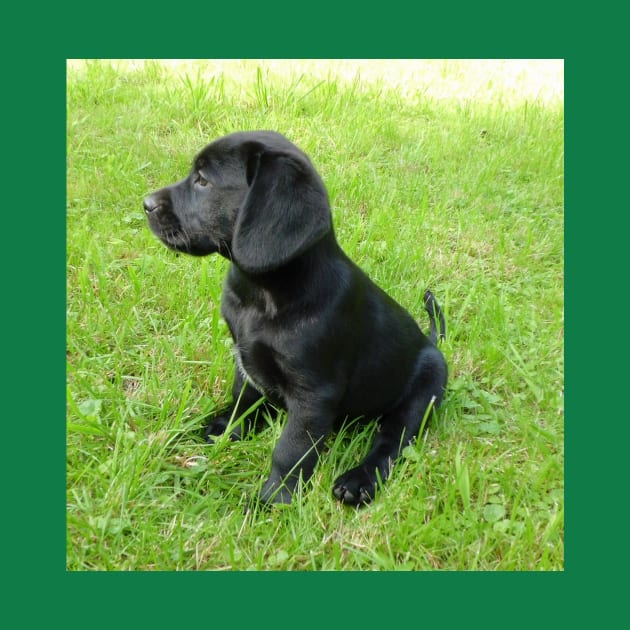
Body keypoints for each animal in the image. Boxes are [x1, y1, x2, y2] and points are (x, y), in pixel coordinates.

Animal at [144, 131, 450, 506]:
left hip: (423, 393)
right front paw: (227, 429)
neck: (262, 297)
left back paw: (359, 480)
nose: (146, 203)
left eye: (202, 180)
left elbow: (290, 451)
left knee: (391, 442)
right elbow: (243, 401)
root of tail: (430, 343)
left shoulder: (313, 395)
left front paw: (272, 502)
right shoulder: (244, 361)